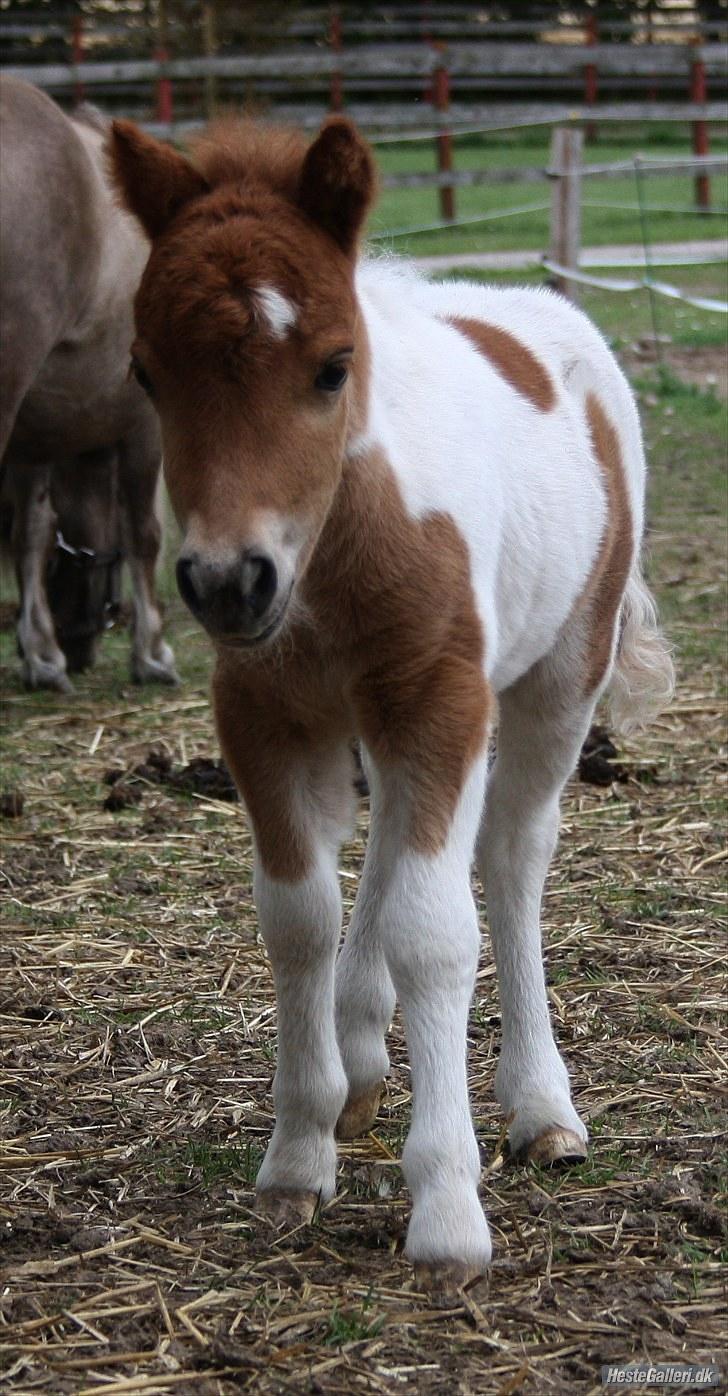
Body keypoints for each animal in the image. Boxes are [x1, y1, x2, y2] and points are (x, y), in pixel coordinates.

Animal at [110, 114, 673, 1278]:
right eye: (146, 371)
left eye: (334, 367)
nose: (227, 582)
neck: (332, 550)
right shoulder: (266, 714)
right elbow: (297, 917)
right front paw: (296, 1155)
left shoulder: (438, 697)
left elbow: (434, 930)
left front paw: (448, 1208)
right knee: (389, 852)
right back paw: (363, 1053)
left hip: (558, 678)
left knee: (508, 861)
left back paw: (539, 1107)